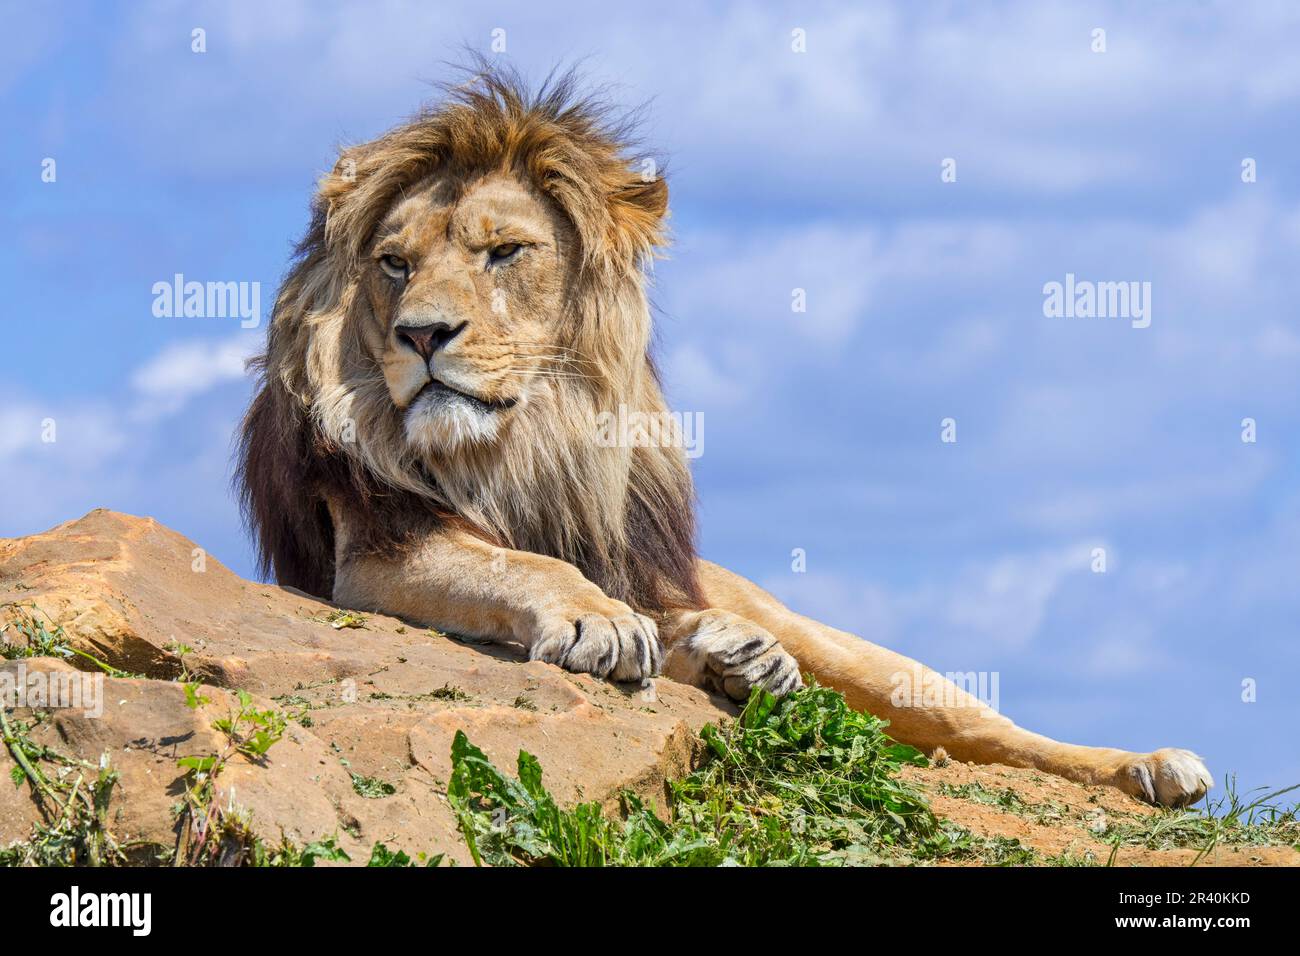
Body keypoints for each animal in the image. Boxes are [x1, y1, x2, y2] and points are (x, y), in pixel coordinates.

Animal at [239, 65, 1211, 806]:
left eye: (504, 252)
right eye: (393, 264)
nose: (421, 335)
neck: (530, 439)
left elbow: (561, 571)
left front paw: (684, 641)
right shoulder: (371, 552)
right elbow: (523, 564)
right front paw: (605, 624)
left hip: (838, 643)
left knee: (973, 725)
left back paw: (1151, 766)